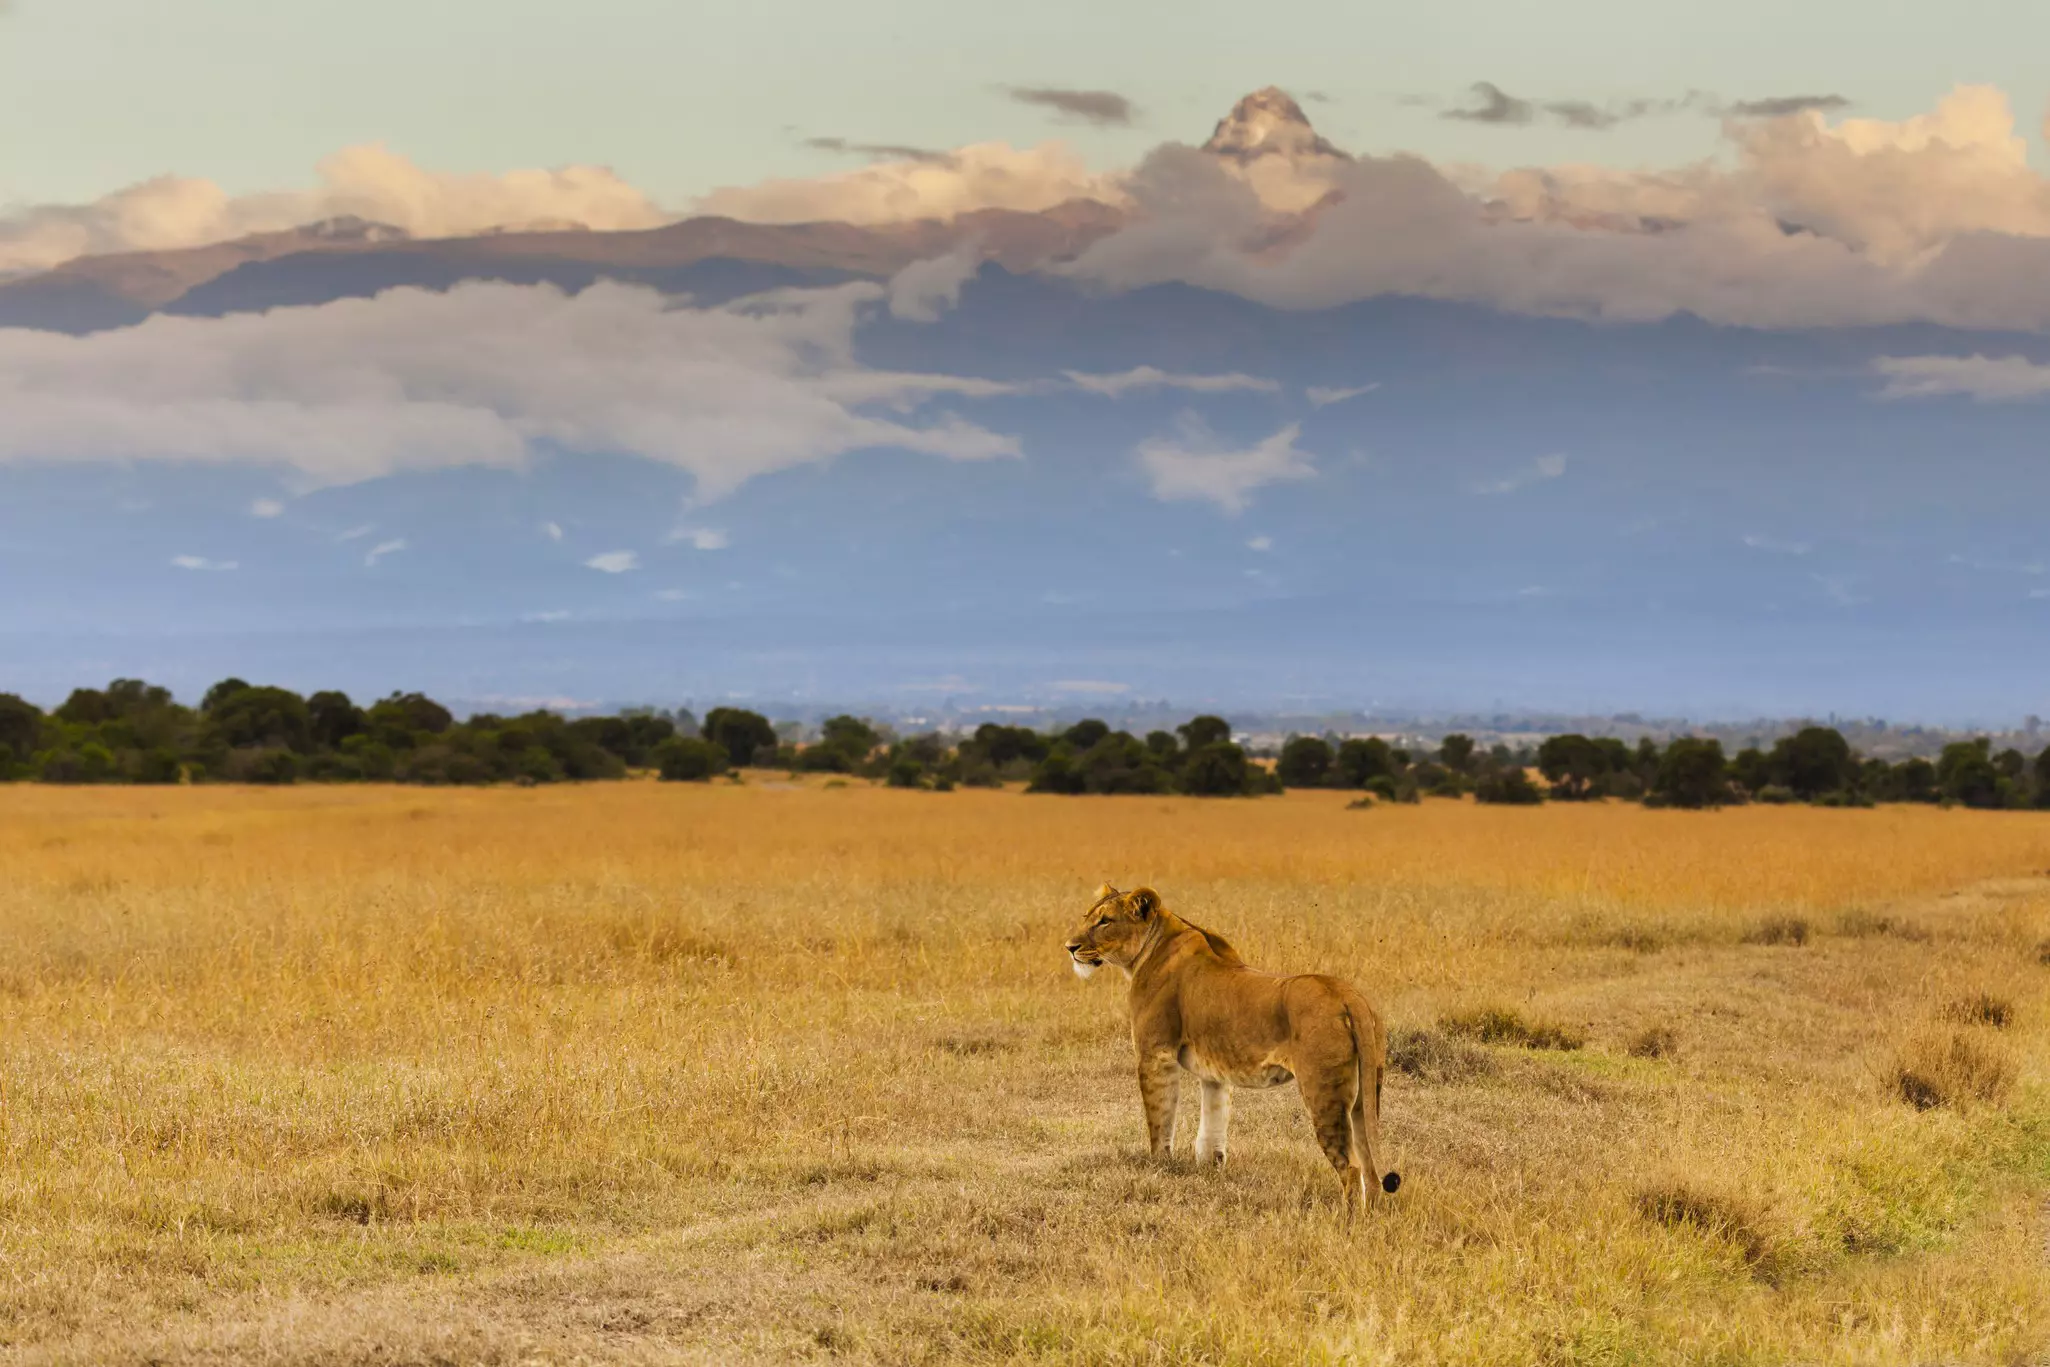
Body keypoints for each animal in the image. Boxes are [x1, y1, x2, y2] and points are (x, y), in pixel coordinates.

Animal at [1065, 883, 1400, 1219]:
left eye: (1105, 921)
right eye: (1087, 916)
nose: (1069, 947)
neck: (1151, 948)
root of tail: (1348, 995)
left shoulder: (1155, 1054)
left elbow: (1159, 1119)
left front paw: (1158, 1167)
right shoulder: (1215, 1072)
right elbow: (1212, 1124)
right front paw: (1209, 1169)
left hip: (1323, 1093)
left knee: (1351, 1167)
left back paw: (1347, 1220)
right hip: (1366, 1094)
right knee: (1370, 1166)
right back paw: (1373, 1216)